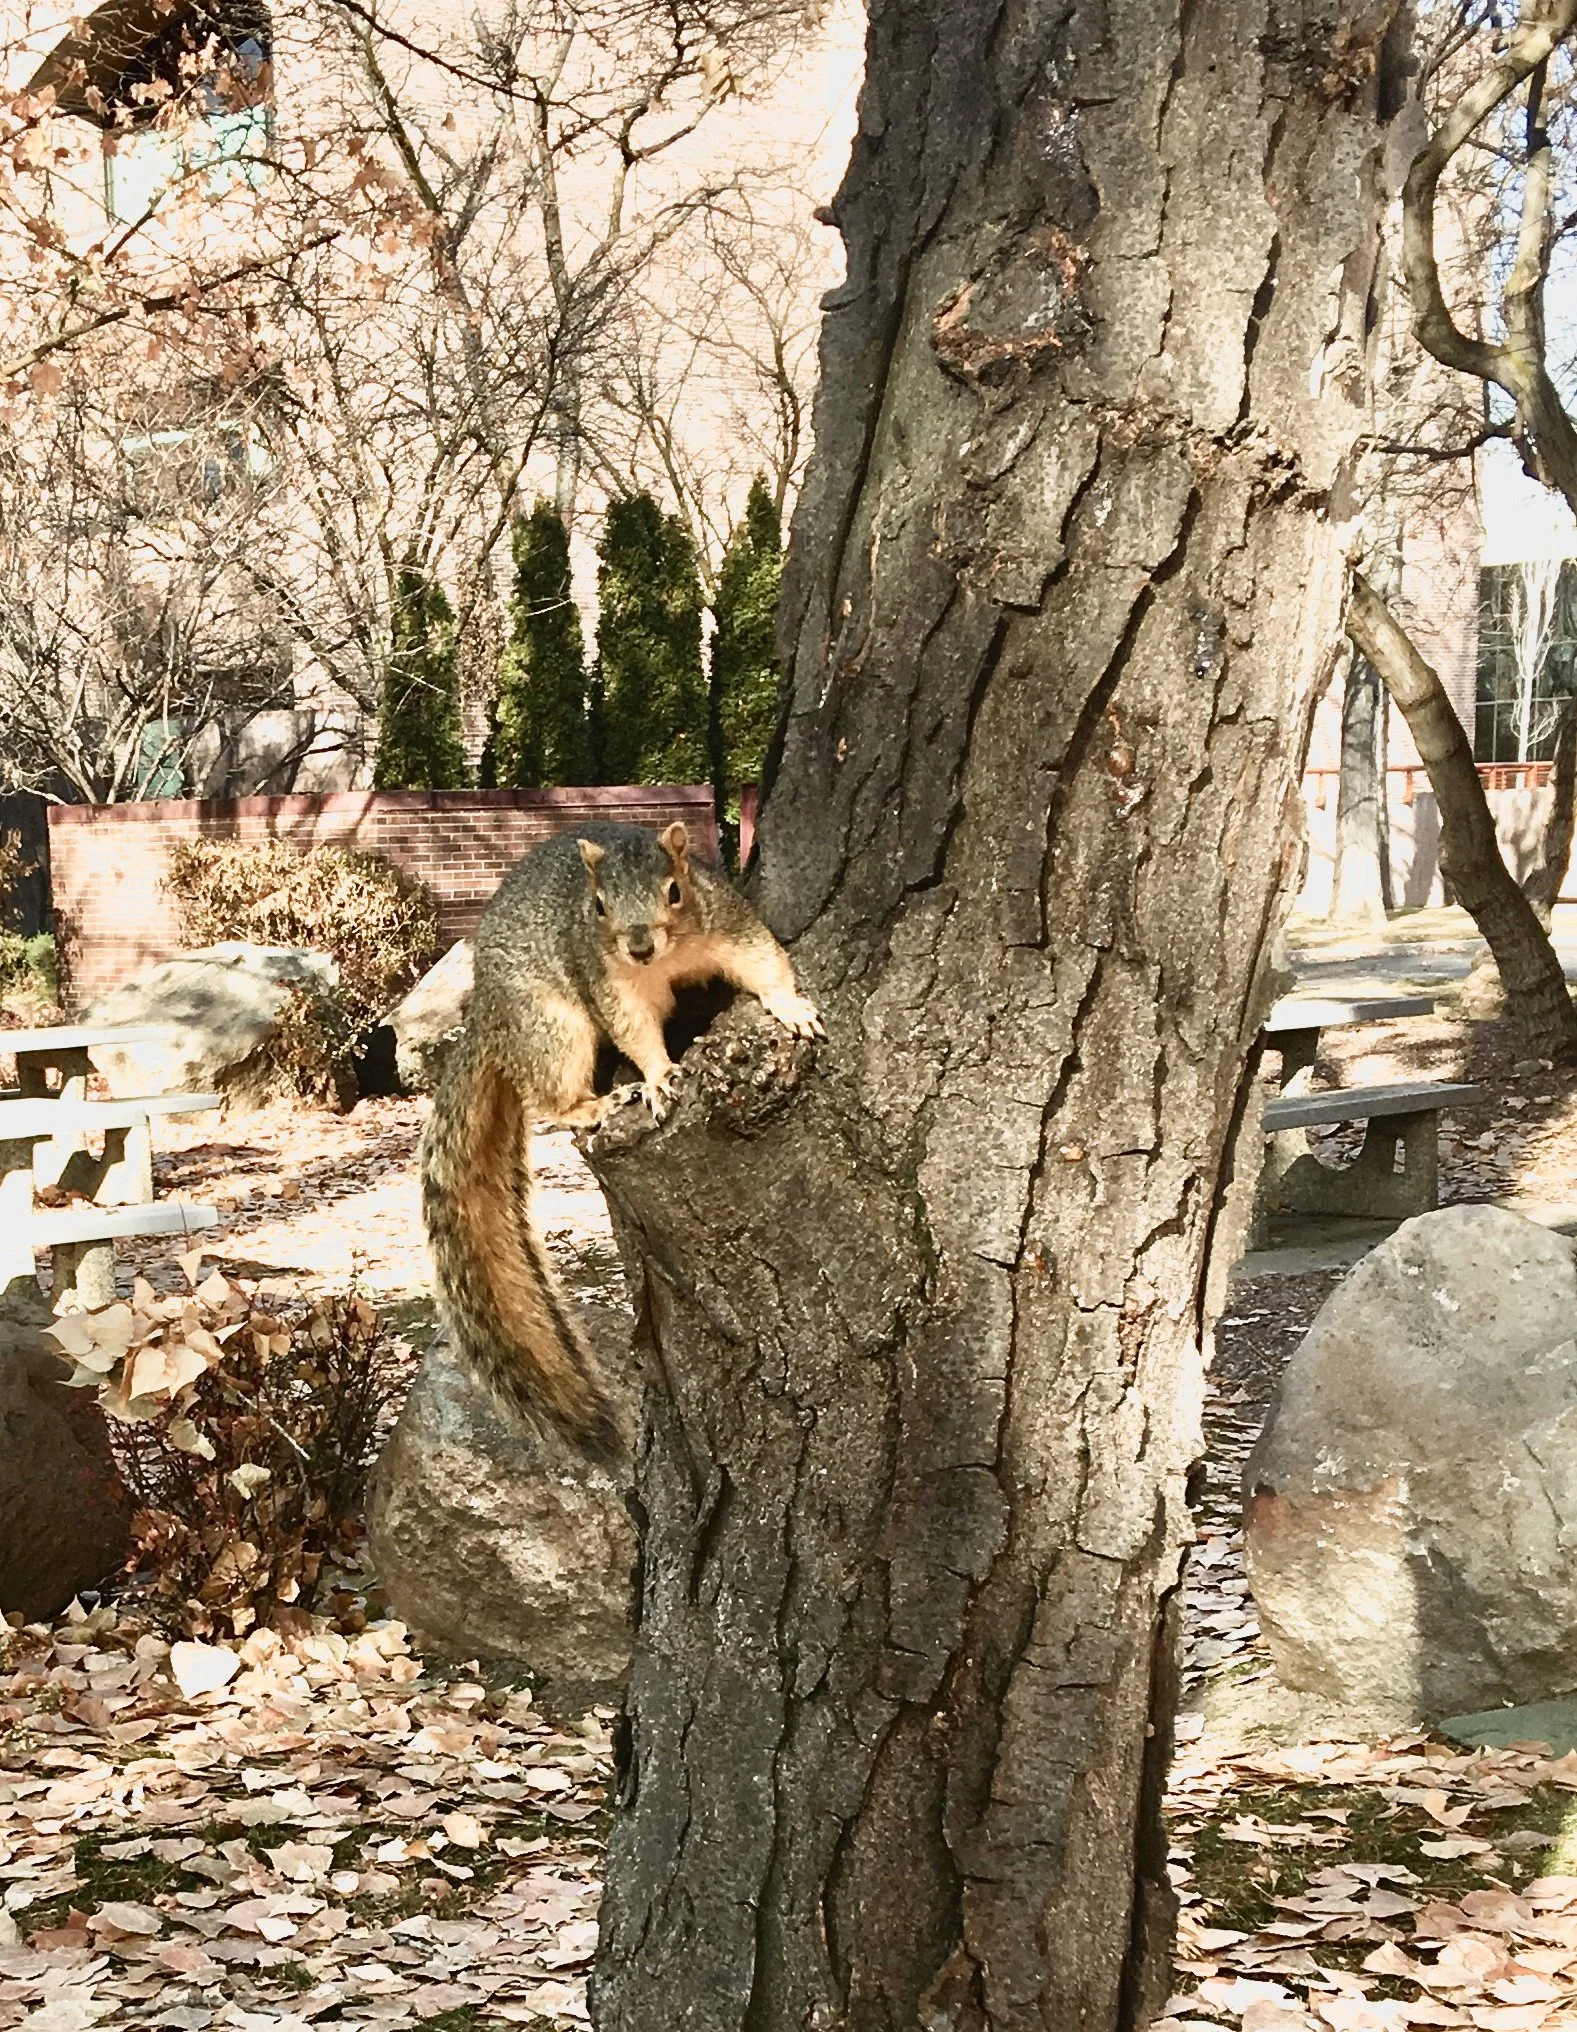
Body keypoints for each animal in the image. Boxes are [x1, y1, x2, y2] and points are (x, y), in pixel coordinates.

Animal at [419, 819, 822, 1462]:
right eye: (600, 906)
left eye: (675, 891)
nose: (638, 946)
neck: (667, 959)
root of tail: (486, 1018)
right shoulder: (611, 983)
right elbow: (636, 1032)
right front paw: (657, 1076)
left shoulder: (727, 921)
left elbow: (764, 962)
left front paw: (789, 1006)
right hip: (552, 1028)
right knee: (552, 1095)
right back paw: (593, 1104)